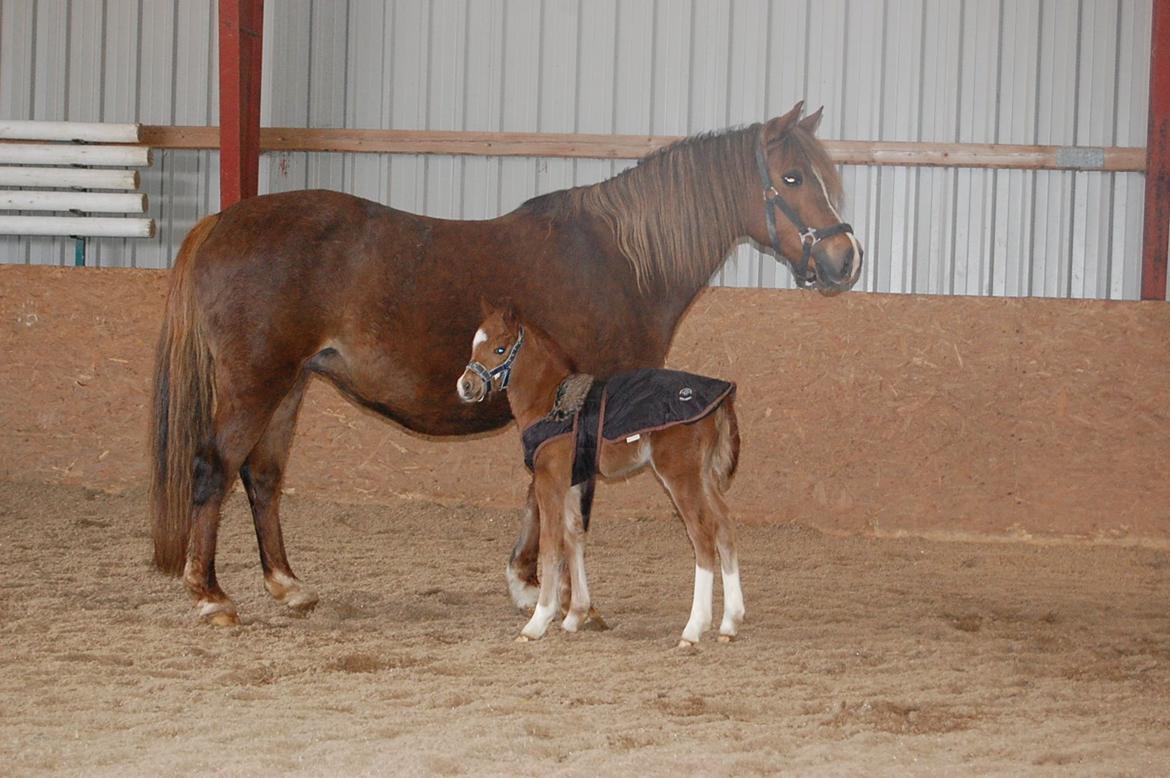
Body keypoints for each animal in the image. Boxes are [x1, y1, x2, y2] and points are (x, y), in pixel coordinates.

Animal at [459, 304, 743, 646]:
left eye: (500, 349)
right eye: (475, 344)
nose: (466, 386)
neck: (550, 403)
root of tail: (721, 398)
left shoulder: (549, 482)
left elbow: (551, 542)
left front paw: (538, 621)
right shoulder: (573, 482)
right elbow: (574, 535)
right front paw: (575, 616)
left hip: (680, 475)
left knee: (702, 535)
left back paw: (693, 628)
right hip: (706, 476)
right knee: (725, 527)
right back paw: (730, 623)